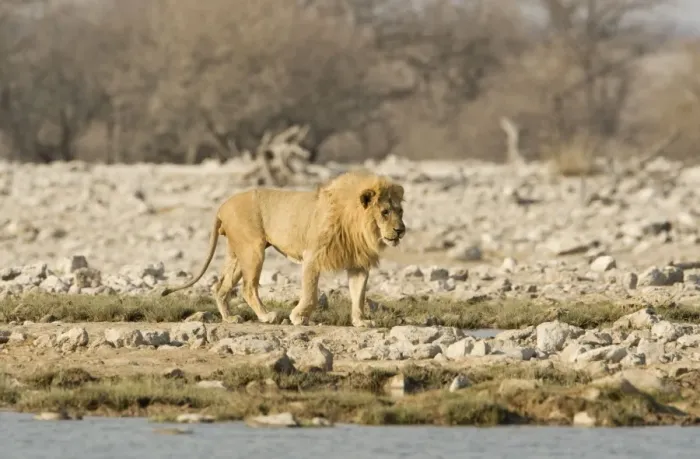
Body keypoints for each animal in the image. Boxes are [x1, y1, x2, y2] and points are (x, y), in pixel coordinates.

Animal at [160, 170, 406, 327]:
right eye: (385, 212)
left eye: (400, 211)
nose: (401, 230)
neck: (357, 226)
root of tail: (222, 206)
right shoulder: (312, 256)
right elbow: (310, 293)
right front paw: (298, 317)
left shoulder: (358, 264)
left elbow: (359, 295)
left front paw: (361, 321)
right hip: (253, 249)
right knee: (248, 288)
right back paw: (267, 316)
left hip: (237, 253)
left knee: (220, 286)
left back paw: (230, 319)